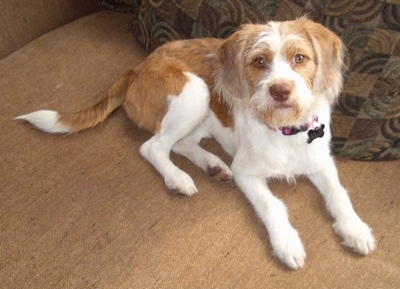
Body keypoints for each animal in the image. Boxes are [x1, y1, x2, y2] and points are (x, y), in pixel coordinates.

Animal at [18, 18, 376, 268]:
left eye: (299, 58)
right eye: (259, 62)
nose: (280, 90)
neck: (284, 129)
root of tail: (138, 68)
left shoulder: (320, 161)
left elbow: (338, 193)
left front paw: (356, 229)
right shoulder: (246, 173)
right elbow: (272, 204)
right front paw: (287, 243)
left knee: (179, 143)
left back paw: (214, 165)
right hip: (196, 91)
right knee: (153, 146)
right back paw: (178, 177)